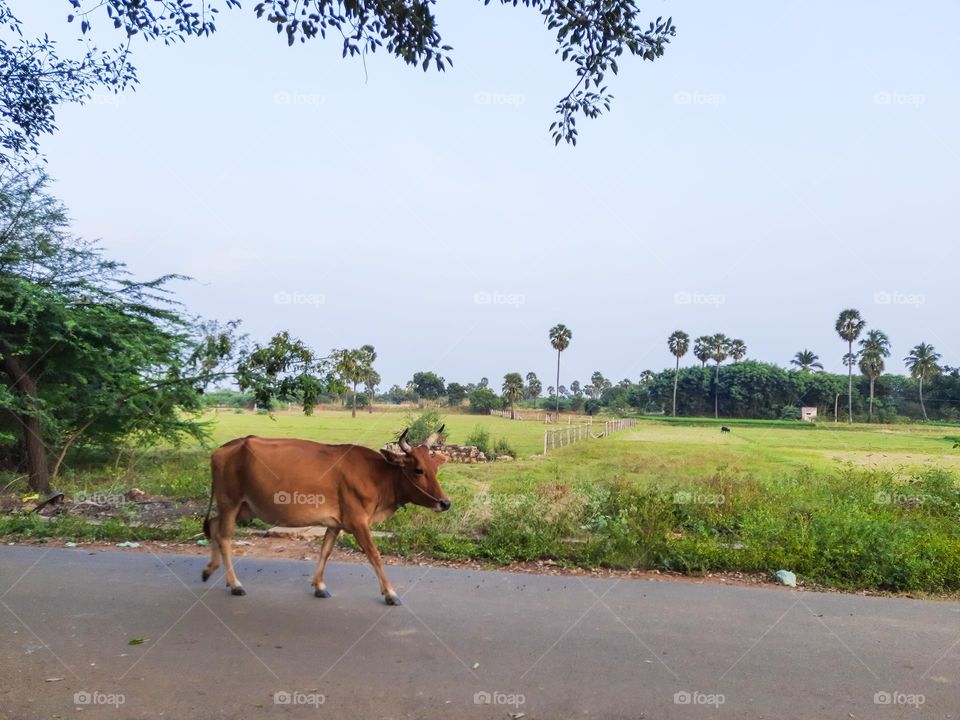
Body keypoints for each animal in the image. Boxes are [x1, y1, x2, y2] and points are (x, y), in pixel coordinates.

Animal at [200, 424, 454, 604]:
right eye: (418, 470)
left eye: (435, 468)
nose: (445, 502)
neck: (379, 476)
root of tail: (224, 448)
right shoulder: (358, 522)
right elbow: (374, 555)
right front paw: (390, 593)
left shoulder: (336, 523)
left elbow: (325, 551)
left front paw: (320, 586)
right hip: (230, 503)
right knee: (224, 536)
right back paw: (235, 584)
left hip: (244, 508)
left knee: (213, 526)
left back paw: (209, 570)